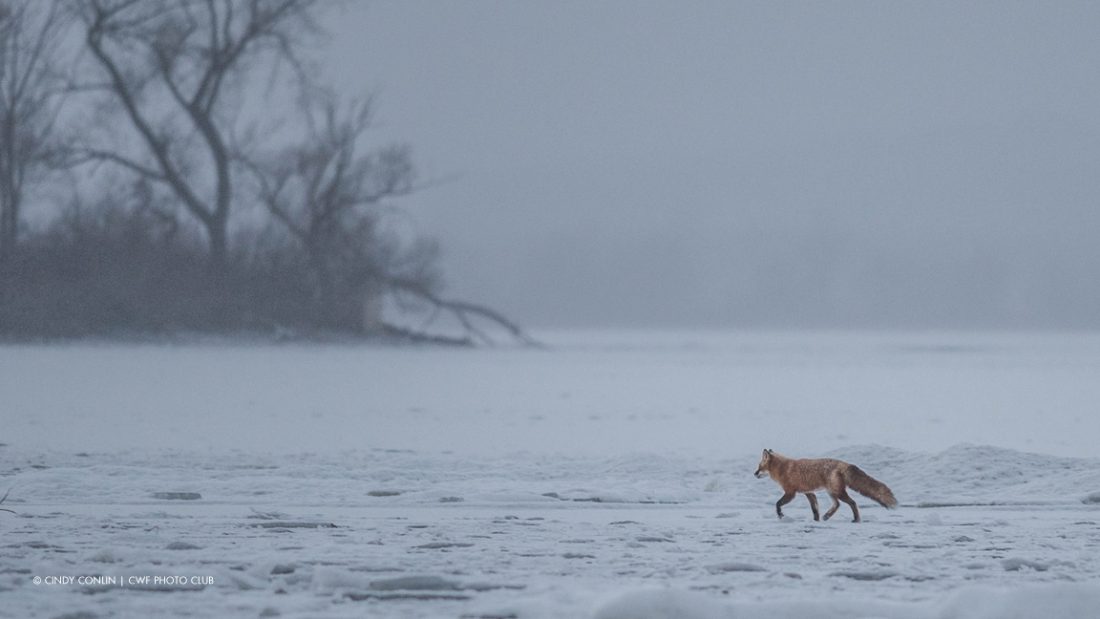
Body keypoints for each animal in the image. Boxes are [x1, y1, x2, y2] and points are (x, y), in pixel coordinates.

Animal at [752, 450, 897, 523]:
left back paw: (856, 520)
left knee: (852, 503)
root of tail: (844, 463)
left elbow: (777, 504)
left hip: (837, 492)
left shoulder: (790, 492)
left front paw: (780, 515)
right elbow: (815, 509)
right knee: (837, 504)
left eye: (759, 467)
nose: (754, 474)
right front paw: (816, 521)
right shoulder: (809, 493)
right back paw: (827, 516)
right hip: (831, 492)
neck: (783, 469)